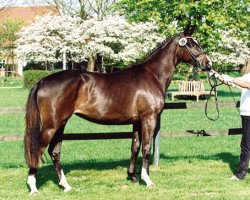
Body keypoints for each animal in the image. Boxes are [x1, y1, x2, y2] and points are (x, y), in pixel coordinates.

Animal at [24, 26, 213, 194]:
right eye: (191, 44)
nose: (208, 64)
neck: (152, 75)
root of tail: (42, 81)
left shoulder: (137, 121)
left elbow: (135, 147)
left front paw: (133, 176)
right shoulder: (149, 118)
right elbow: (146, 147)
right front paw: (147, 180)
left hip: (61, 123)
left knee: (54, 151)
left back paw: (66, 185)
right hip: (51, 125)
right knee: (38, 150)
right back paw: (33, 188)